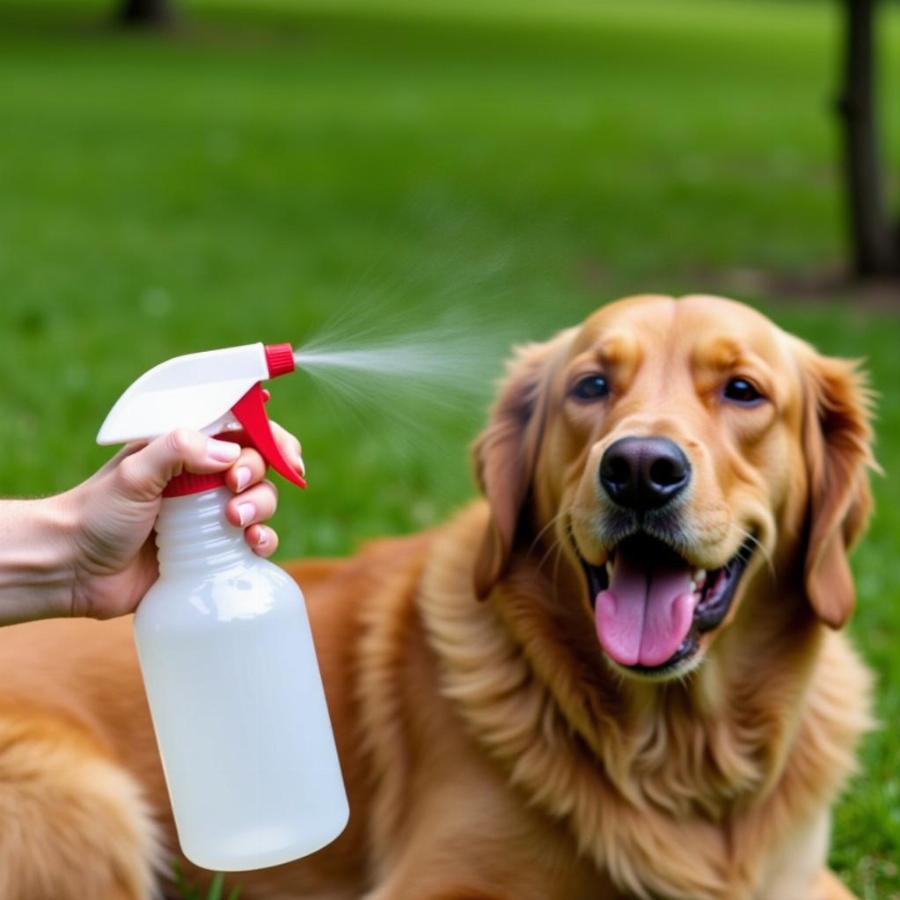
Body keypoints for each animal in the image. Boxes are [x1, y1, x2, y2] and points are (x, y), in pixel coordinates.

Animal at [0, 298, 876, 900]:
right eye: (591, 385)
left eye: (743, 391)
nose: (638, 469)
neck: (675, 753)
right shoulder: (439, 882)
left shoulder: (806, 878)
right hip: (93, 816)